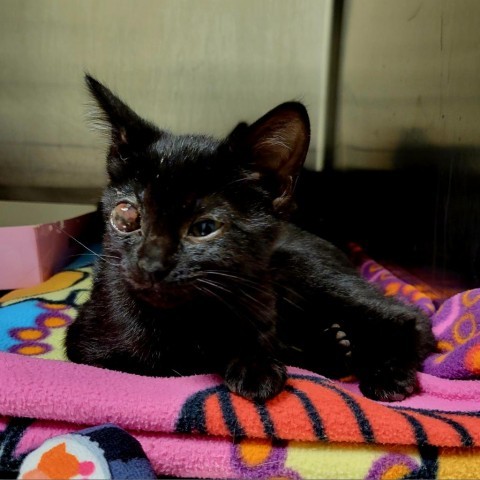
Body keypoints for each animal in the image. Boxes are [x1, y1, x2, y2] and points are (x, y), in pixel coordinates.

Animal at [65, 77, 436, 404]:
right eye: (126, 216)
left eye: (204, 227)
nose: (150, 264)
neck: (184, 318)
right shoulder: (85, 345)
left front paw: (255, 365)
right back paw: (334, 344)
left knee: (411, 315)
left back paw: (387, 373)